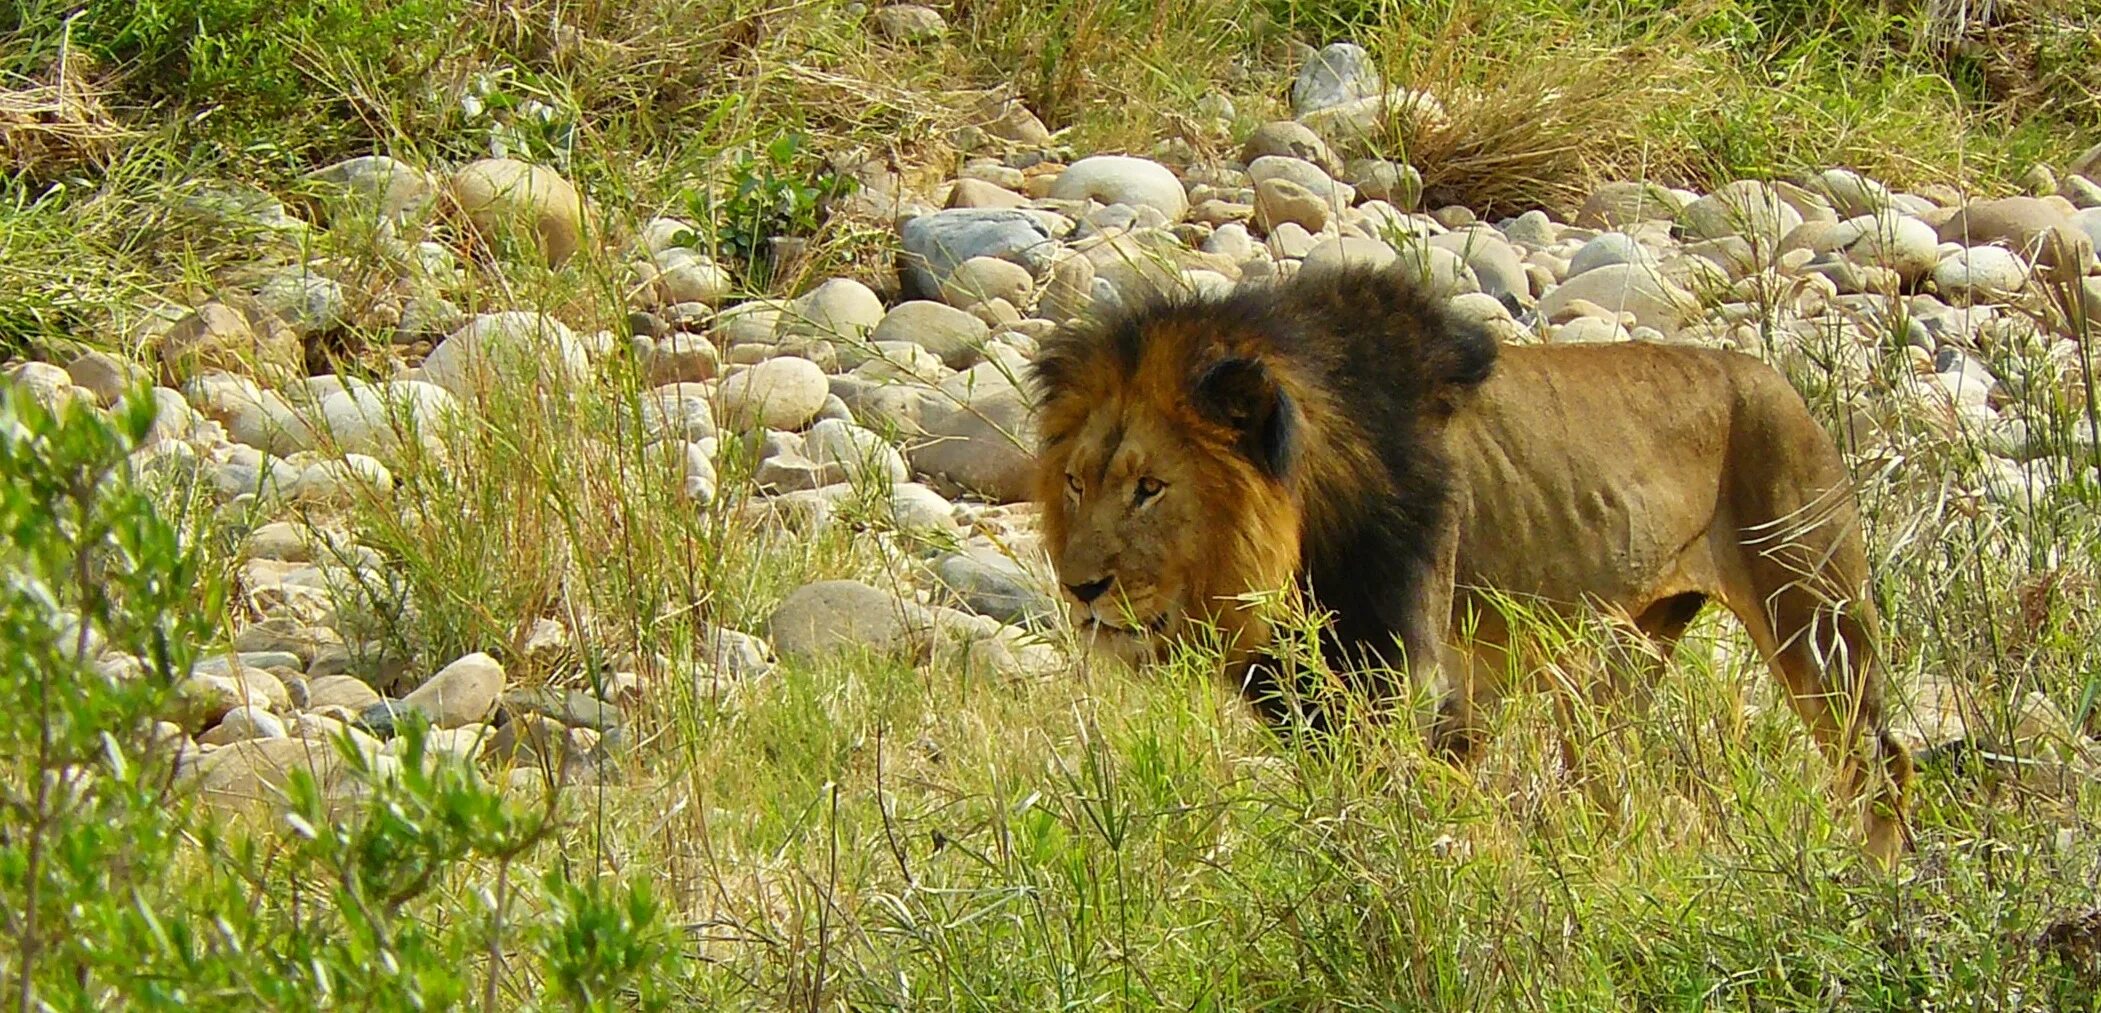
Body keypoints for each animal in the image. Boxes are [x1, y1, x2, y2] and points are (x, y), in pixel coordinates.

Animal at [1025, 259, 1916, 861]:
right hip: (1622, 656)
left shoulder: (1413, 688)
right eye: (1075, 482)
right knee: (1607, 775)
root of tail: (1776, 378)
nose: (1080, 587)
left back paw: (1868, 886)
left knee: (1882, 760)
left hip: (1815, 621)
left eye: (1149, 487)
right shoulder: (1311, 700)